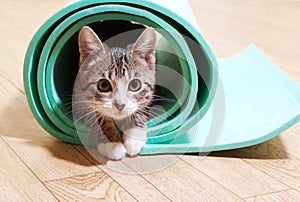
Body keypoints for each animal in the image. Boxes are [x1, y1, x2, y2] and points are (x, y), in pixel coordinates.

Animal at [75, 26, 157, 160]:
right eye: (103, 85)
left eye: (135, 84)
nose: (120, 105)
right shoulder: (78, 100)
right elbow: (96, 115)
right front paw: (111, 143)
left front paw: (134, 136)